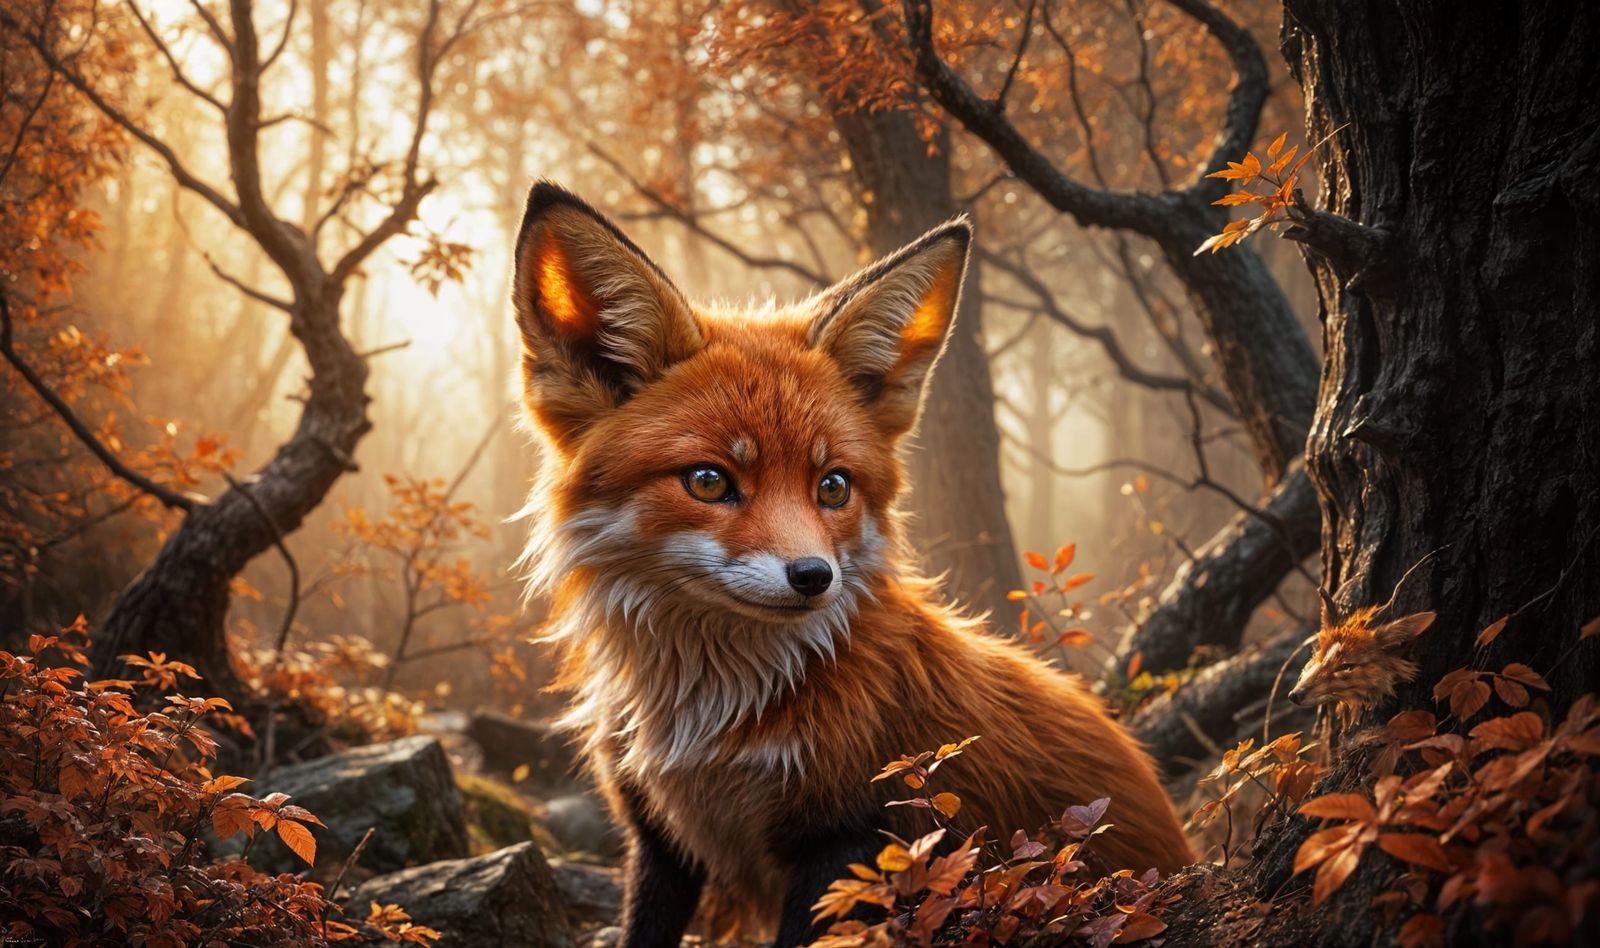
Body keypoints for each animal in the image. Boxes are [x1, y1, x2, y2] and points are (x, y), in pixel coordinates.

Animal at [509, 182, 1193, 947]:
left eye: (832, 487)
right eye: (709, 481)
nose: (814, 577)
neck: (714, 715)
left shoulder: (854, 840)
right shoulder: (659, 838)